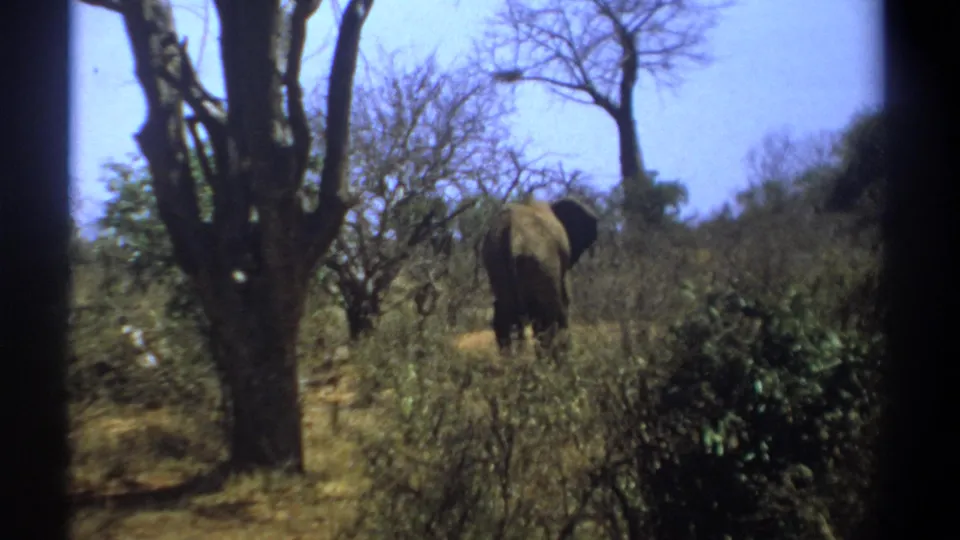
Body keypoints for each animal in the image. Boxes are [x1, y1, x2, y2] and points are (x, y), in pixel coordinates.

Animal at [480, 197, 599, 361]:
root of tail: (511, 232)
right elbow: (564, 302)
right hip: (539, 261)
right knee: (545, 316)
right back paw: (547, 362)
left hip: (495, 259)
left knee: (502, 313)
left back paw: (510, 361)